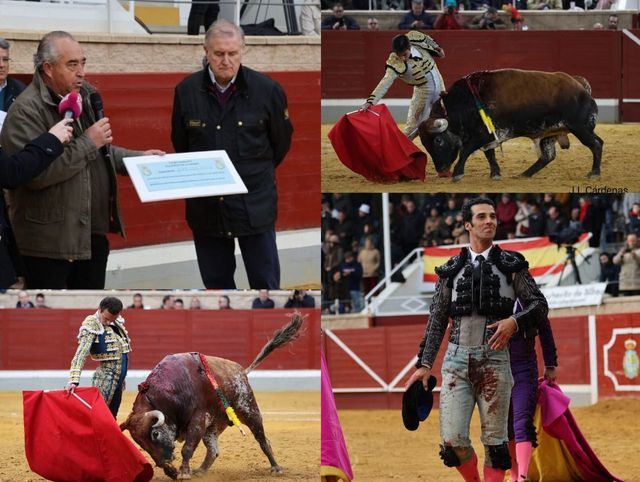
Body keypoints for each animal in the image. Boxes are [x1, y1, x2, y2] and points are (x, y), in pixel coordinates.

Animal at [420, 70, 604, 184]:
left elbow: (466, 151)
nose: (441, 169)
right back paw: (524, 174)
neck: (464, 103)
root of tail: (581, 86)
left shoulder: (483, 135)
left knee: (596, 144)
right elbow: (490, 154)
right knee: (547, 156)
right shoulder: (488, 136)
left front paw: (457, 174)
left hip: (580, 128)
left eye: (438, 140)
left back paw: (594, 173)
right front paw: (495, 174)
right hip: (549, 134)